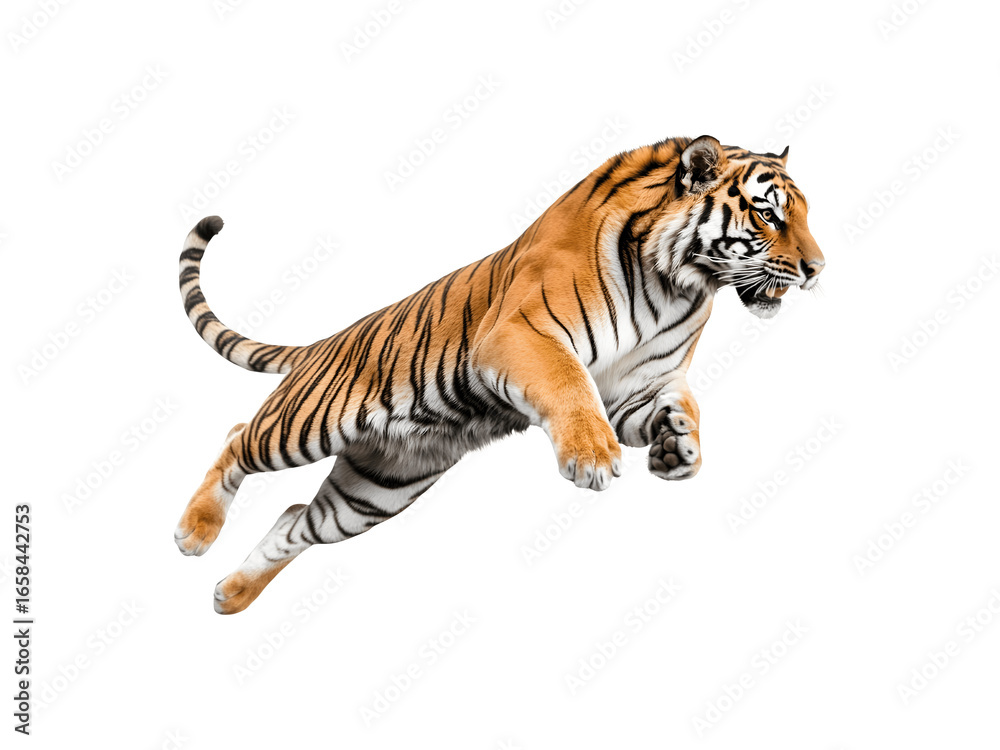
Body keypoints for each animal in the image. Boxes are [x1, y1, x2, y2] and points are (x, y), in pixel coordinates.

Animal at [174, 135, 825, 614]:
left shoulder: (639, 389)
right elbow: (569, 383)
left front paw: (678, 450)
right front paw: (591, 456)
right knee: (236, 436)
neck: (677, 282)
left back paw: (231, 595)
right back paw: (195, 532)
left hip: (377, 489)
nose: (818, 268)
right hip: (308, 423)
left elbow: (684, 406)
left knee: (295, 519)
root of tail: (321, 343)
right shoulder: (521, 333)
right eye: (768, 215)